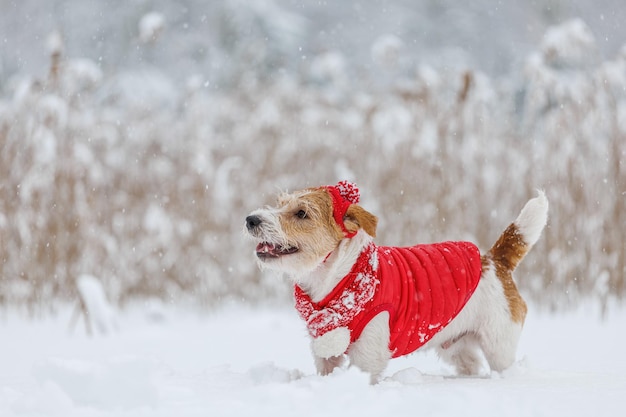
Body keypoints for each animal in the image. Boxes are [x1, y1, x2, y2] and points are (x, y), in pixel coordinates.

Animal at [244, 180, 544, 382]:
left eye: (301, 213)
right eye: (280, 204)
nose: (250, 219)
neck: (338, 278)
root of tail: (494, 259)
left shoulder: (368, 354)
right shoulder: (325, 353)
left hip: (498, 343)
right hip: (456, 345)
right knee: (470, 364)